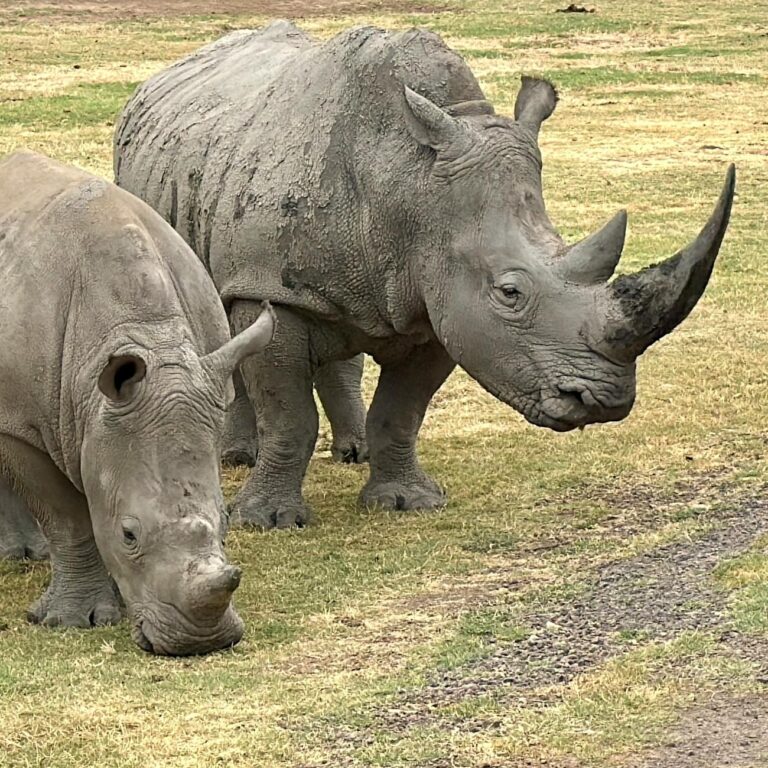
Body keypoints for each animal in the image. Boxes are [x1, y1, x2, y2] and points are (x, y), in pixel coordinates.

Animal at [0, 151, 275, 655]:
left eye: (227, 519)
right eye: (129, 533)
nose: (199, 641)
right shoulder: (20, 422)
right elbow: (67, 516)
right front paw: (73, 621)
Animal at [114, 22, 735, 530]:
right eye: (510, 292)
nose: (603, 401)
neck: (409, 185)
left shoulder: (440, 300)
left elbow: (402, 411)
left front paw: (405, 503)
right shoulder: (270, 285)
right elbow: (287, 414)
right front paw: (268, 522)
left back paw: (353, 451)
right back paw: (237, 458)